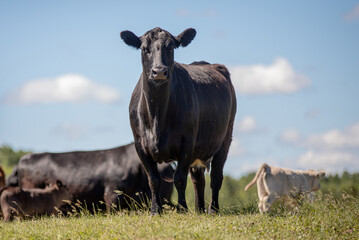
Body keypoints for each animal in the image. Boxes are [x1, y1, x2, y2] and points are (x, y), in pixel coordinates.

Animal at [121, 27, 238, 214]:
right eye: (144, 49)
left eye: (171, 48)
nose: (159, 71)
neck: (157, 116)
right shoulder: (140, 144)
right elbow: (153, 180)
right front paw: (155, 210)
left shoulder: (187, 142)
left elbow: (180, 179)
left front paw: (182, 208)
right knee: (199, 180)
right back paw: (199, 210)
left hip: (226, 137)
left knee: (216, 177)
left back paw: (213, 209)